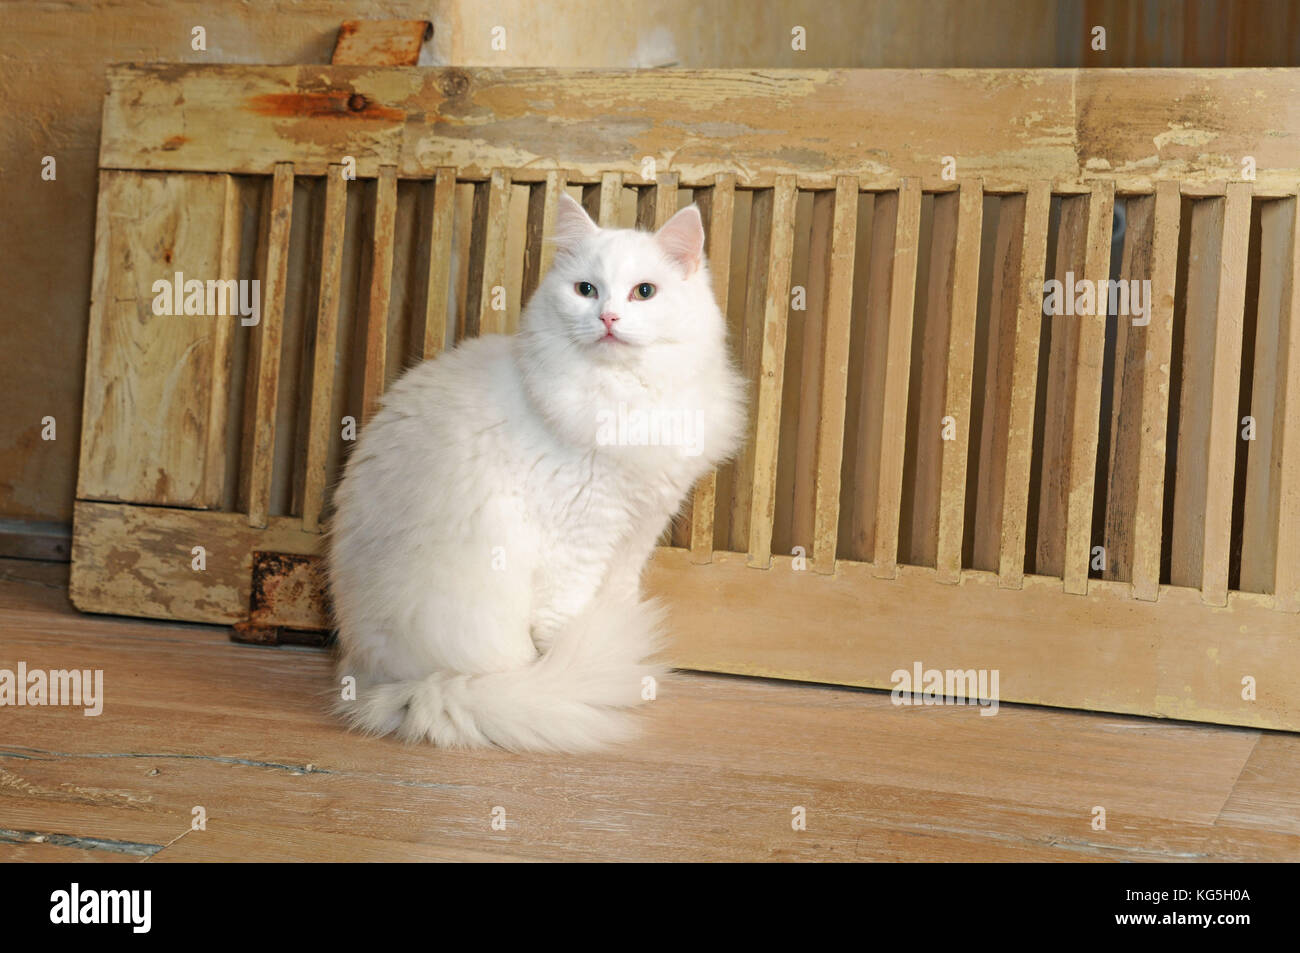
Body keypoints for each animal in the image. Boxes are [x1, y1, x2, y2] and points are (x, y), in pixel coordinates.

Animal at [330, 193, 748, 748]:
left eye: (644, 292)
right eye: (585, 290)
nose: (608, 317)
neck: (624, 396)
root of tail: (387, 682)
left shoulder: (635, 532)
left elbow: (617, 600)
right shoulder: (580, 540)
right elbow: (563, 623)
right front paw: (583, 671)